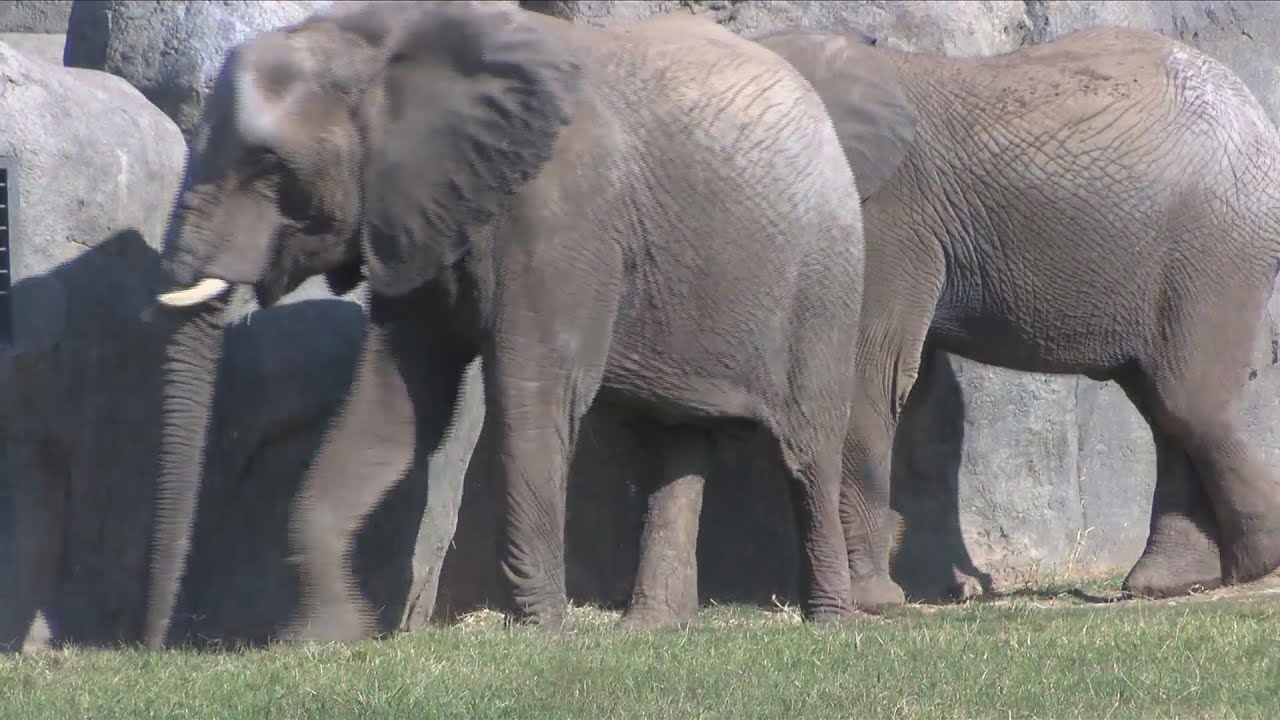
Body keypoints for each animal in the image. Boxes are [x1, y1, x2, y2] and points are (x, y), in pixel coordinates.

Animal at [141, 0, 869, 648]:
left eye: (266, 166)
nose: (151, 646)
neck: (386, 41)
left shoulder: (563, 216)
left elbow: (530, 393)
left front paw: (539, 633)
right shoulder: (417, 218)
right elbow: (394, 403)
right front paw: (325, 639)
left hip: (823, 283)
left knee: (808, 450)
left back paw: (830, 623)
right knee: (677, 443)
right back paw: (650, 631)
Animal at [714, 25, 1280, 611]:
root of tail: (1255, 111)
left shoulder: (887, 216)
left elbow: (866, 375)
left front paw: (873, 603)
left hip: (1213, 251)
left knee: (1186, 401)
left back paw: (1252, 562)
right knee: (1161, 403)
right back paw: (1166, 582)